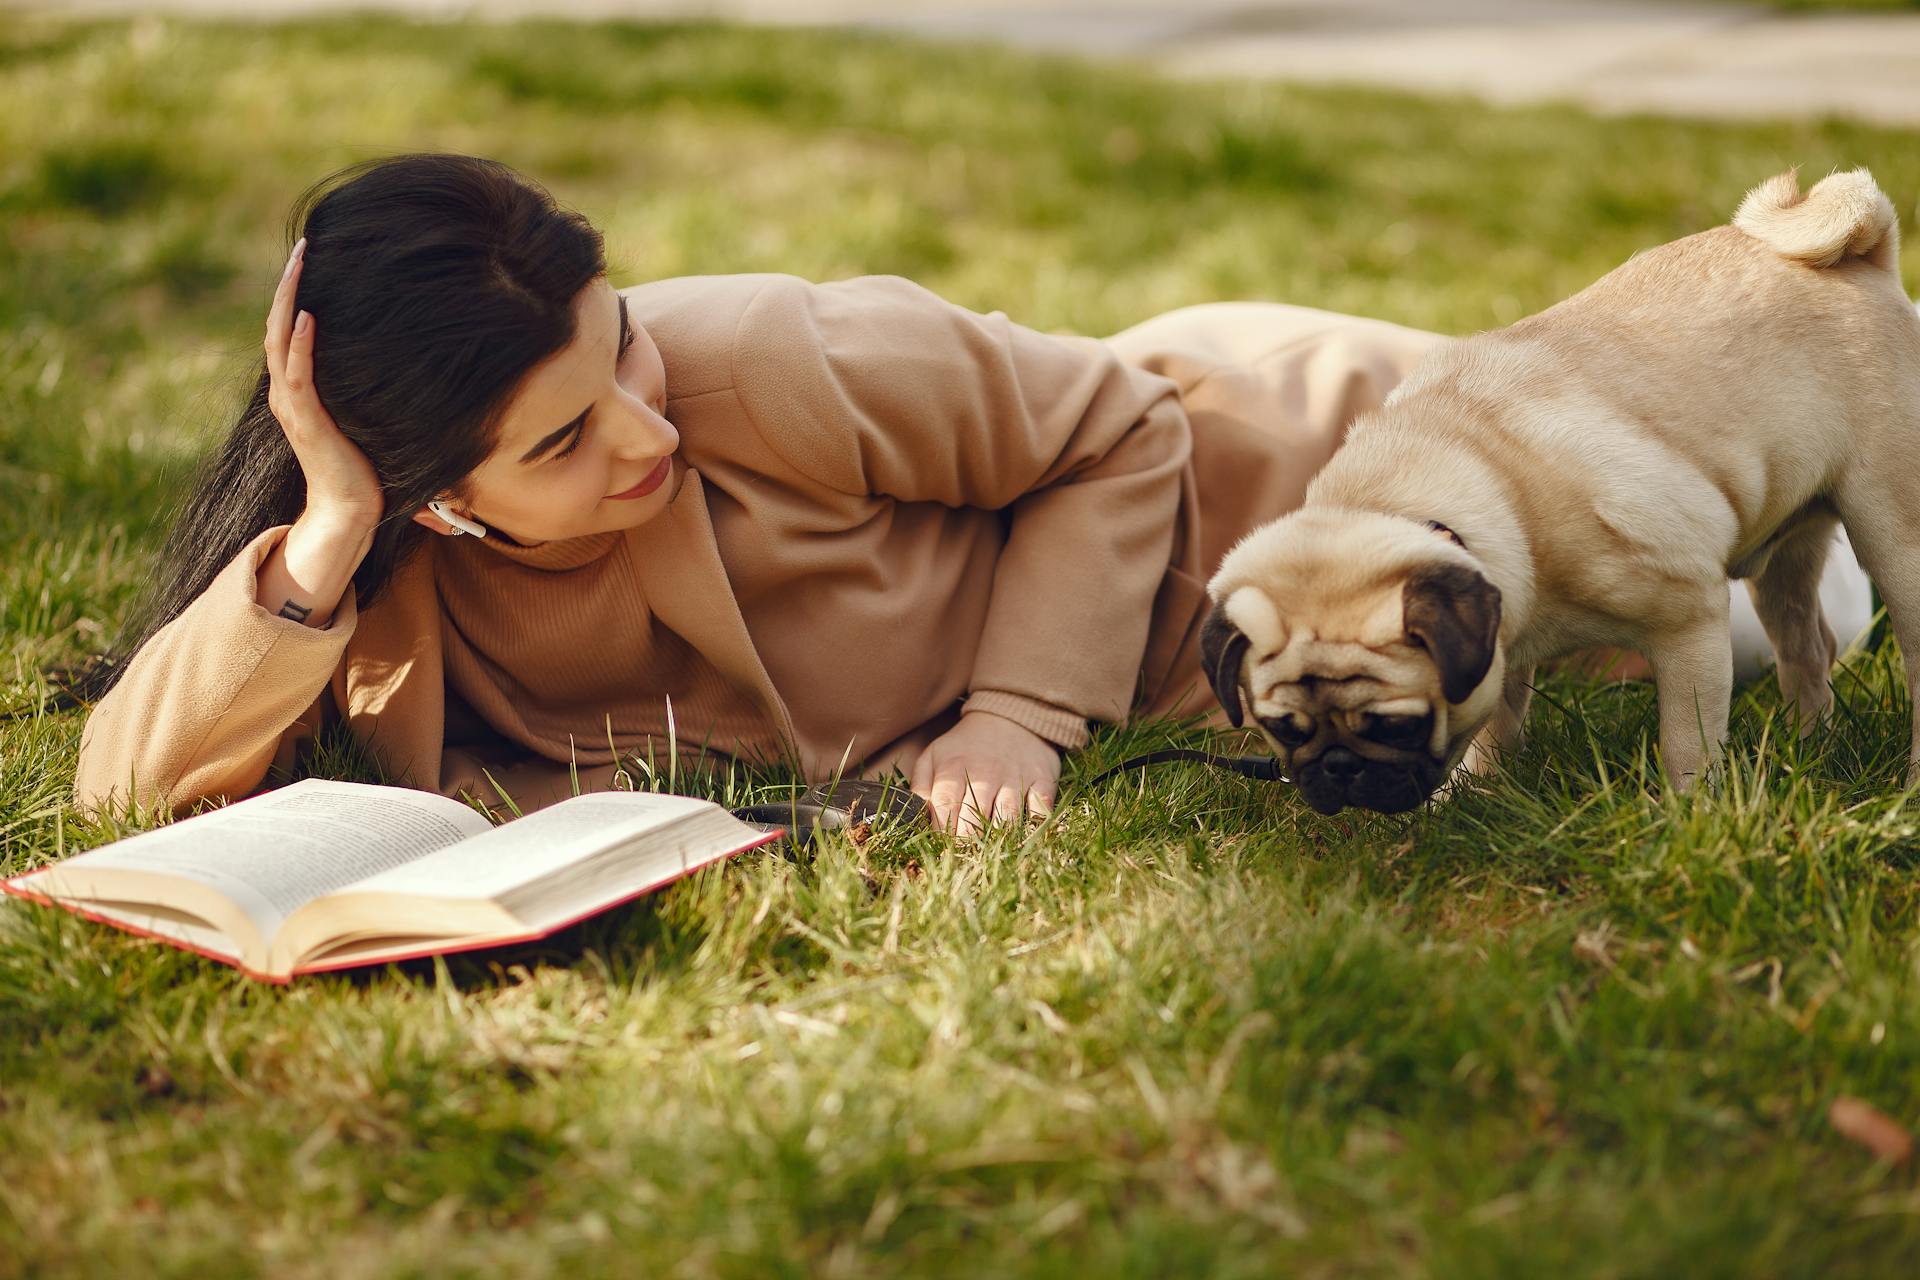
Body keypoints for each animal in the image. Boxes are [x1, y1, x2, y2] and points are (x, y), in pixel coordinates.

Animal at [1198, 169, 1920, 817]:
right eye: (1281, 728)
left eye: (1395, 724)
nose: (1336, 769)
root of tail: (1860, 256)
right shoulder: (1500, 642)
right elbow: (1492, 727)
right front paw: (1468, 799)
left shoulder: (1689, 624)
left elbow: (1687, 741)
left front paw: (1689, 813)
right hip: (1789, 551)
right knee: (1805, 645)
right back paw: (1811, 747)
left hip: (1892, 531)